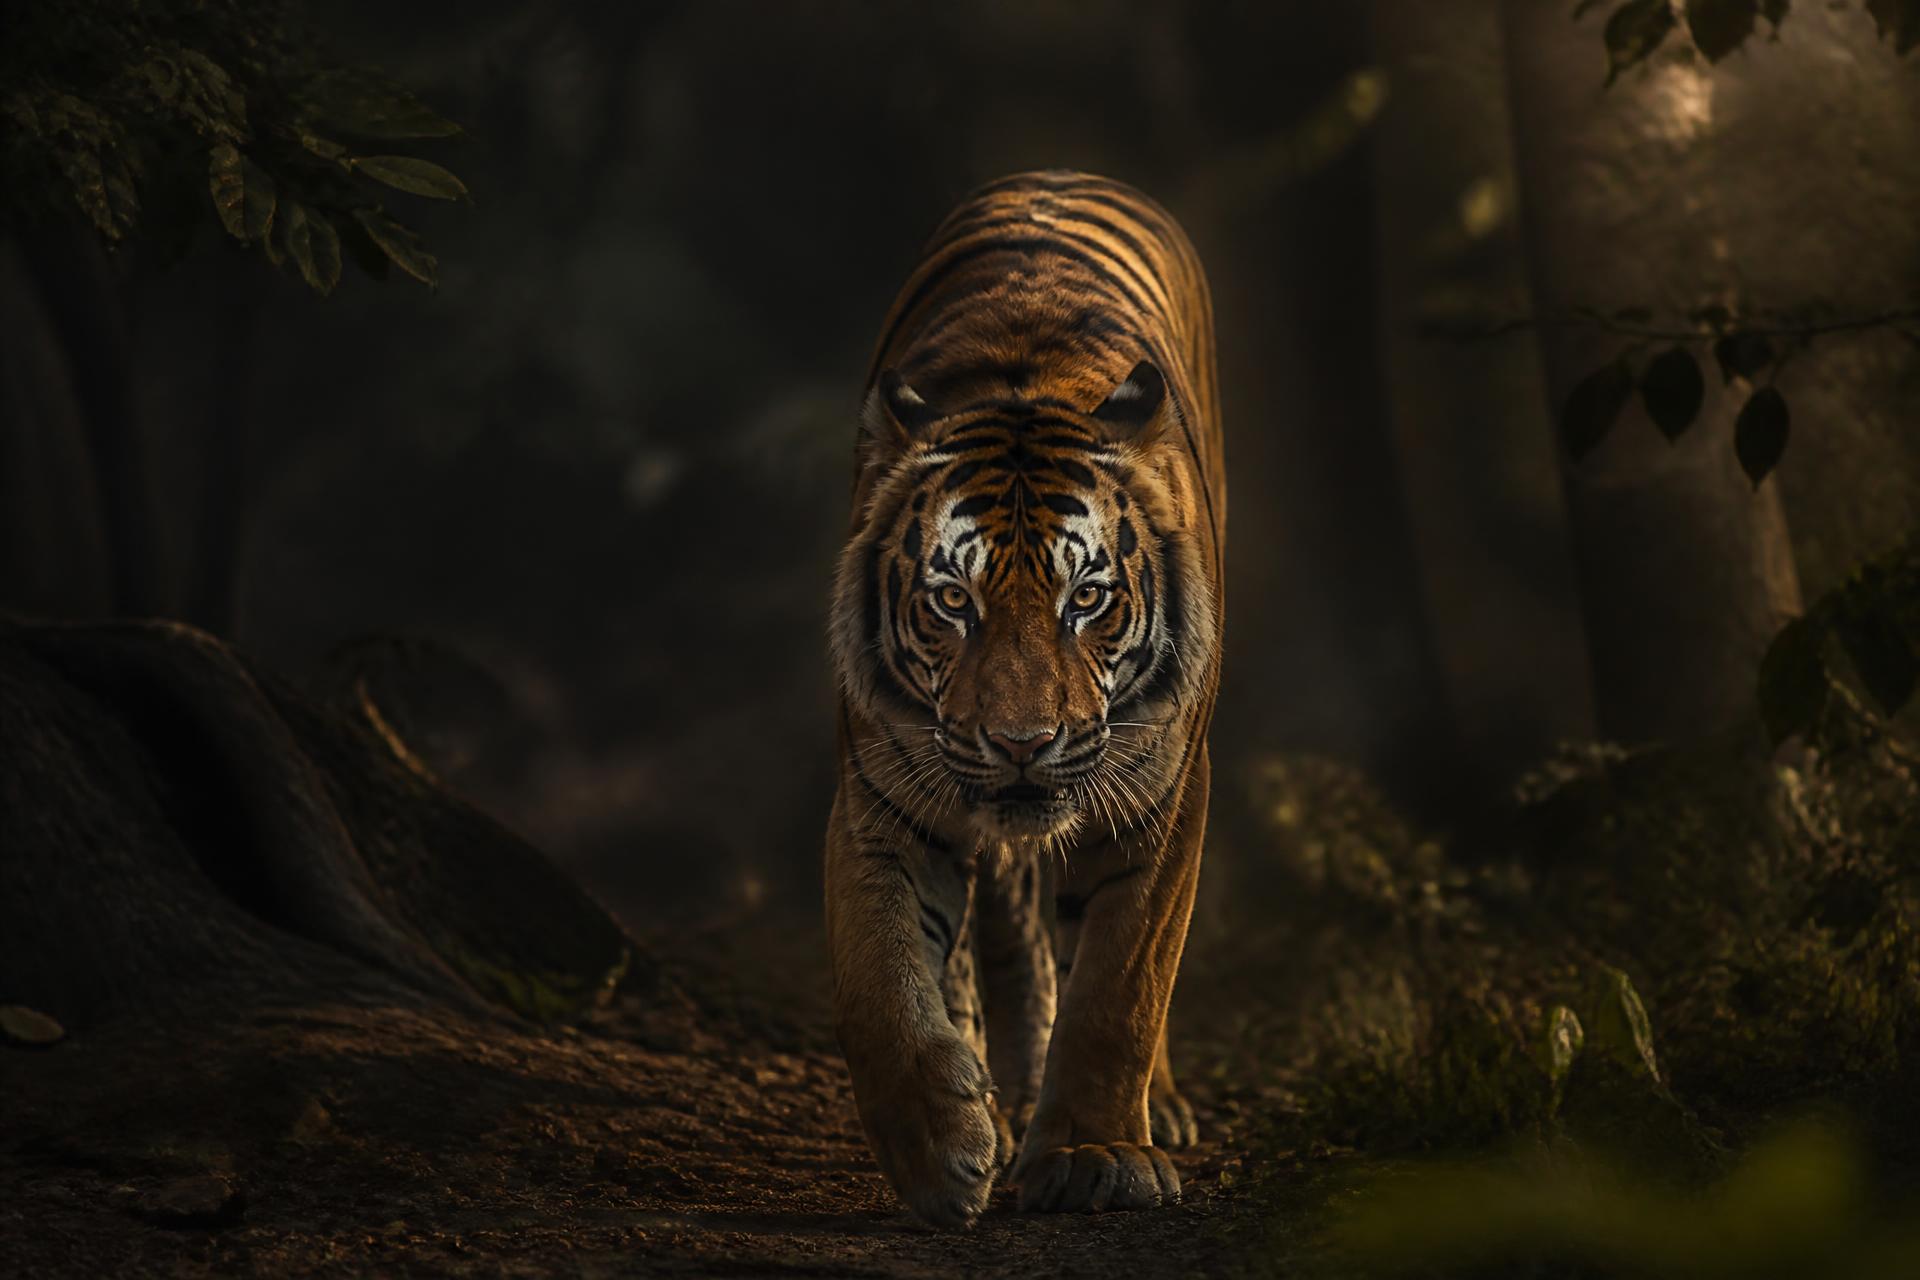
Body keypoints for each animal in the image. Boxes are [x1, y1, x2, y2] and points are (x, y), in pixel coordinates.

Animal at [824, 168, 1225, 1226]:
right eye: (951, 602)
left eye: (1085, 598)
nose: (1020, 741)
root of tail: (1060, 168)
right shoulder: (881, 793)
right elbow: (879, 976)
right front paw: (938, 1152)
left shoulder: (1164, 791)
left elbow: (1121, 988)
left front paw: (1095, 1156)